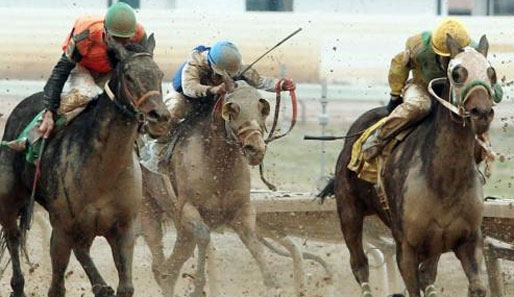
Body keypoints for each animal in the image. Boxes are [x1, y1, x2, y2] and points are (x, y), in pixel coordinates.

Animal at [0, 36, 172, 296]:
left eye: (160, 74)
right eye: (129, 76)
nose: (159, 118)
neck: (104, 171)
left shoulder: (124, 229)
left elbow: (126, 286)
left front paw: (106, 286)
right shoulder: (62, 229)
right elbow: (57, 287)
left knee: (81, 250)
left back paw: (100, 285)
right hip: (10, 200)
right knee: (13, 238)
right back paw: (18, 285)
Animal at [138, 77, 280, 294]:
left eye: (261, 108)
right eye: (232, 109)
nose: (255, 149)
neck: (218, 166)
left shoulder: (242, 210)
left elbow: (254, 243)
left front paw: (272, 282)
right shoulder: (188, 210)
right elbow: (204, 237)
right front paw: (197, 286)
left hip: (180, 228)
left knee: (171, 267)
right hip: (149, 208)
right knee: (160, 261)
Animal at [318, 35, 494, 296]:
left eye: (491, 73)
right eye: (457, 73)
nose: (481, 113)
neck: (445, 181)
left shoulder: (468, 240)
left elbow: (476, 286)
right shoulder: (406, 248)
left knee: (427, 273)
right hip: (349, 211)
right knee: (359, 264)